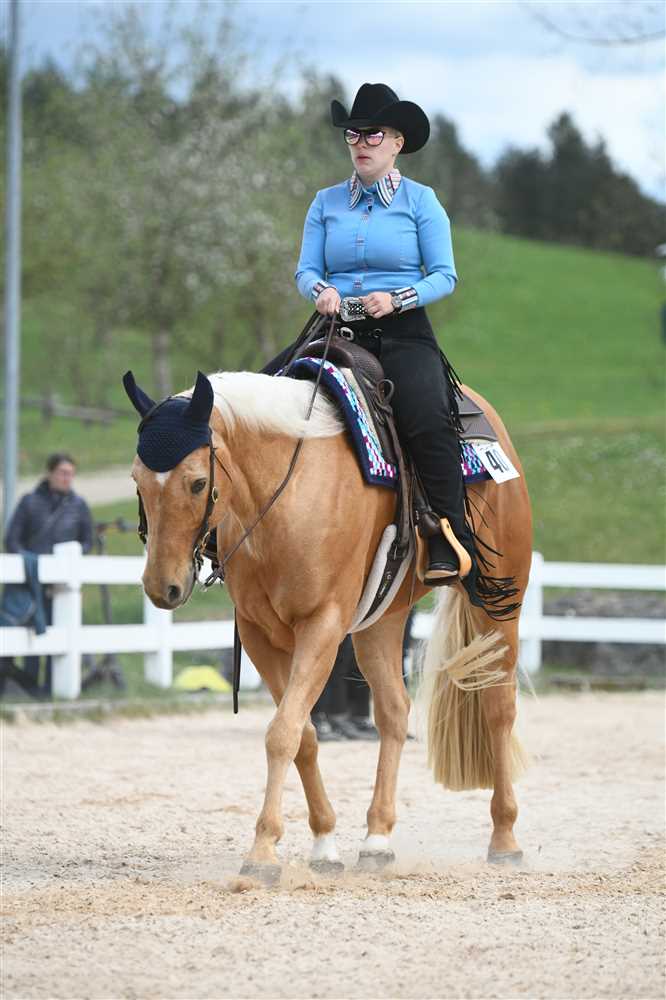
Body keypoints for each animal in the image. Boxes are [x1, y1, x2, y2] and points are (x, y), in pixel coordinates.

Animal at [124, 364, 532, 880]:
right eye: (137, 479)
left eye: (197, 483)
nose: (163, 587)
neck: (286, 494)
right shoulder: (259, 635)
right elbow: (302, 734)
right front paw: (323, 845)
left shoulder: (322, 626)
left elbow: (281, 733)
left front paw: (262, 851)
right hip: (381, 620)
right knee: (394, 712)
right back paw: (377, 839)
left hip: (500, 602)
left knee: (498, 707)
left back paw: (505, 837)